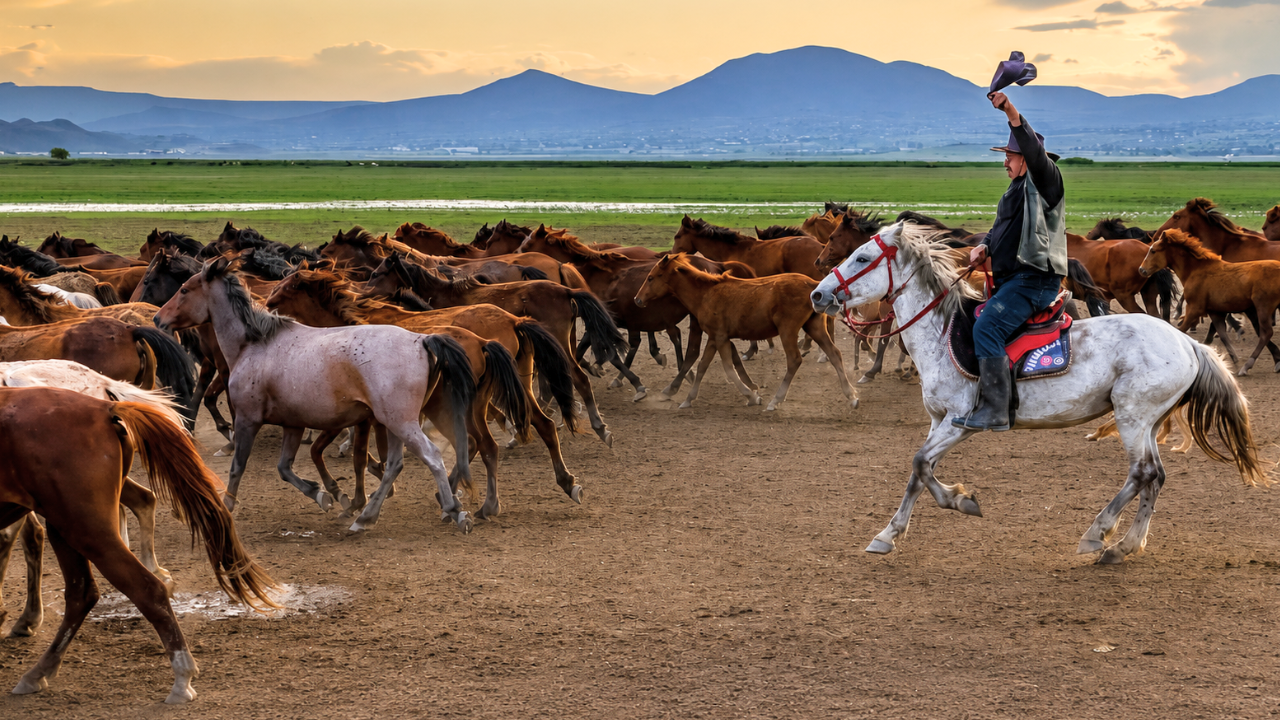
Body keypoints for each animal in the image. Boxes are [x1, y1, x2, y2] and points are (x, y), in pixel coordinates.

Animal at [155, 256, 477, 533]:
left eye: (184, 290)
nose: (158, 319)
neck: (255, 345)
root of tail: (421, 340)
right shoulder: (293, 425)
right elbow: (285, 468)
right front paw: (325, 495)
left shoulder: (247, 420)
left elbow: (238, 467)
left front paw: (227, 507)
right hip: (393, 423)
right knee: (394, 465)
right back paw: (364, 518)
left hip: (401, 422)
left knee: (431, 456)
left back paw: (453, 510)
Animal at [365, 251, 625, 443]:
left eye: (377, 273)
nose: (364, 295)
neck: (444, 294)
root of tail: (566, 290)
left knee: (577, 378)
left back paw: (598, 426)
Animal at [636, 254, 856, 412]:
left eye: (651, 277)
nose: (638, 299)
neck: (705, 294)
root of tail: (812, 285)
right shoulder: (715, 338)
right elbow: (702, 366)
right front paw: (689, 399)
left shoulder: (721, 337)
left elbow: (728, 368)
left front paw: (752, 396)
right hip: (814, 327)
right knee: (834, 354)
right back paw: (852, 396)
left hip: (788, 331)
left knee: (794, 360)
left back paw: (775, 400)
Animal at [810, 221, 1266, 562]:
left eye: (862, 258)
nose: (818, 293)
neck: (942, 333)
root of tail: (1187, 343)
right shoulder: (938, 421)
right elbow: (918, 474)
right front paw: (889, 533)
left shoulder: (960, 422)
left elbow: (920, 464)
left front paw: (961, 501)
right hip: (1147, 421)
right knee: (1155, 476)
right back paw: (1124, 545)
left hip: (1132, 417)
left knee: (1142, 473)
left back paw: (1098, 533)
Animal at [1139, 229, 1280, 375]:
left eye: (1153, 250)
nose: (1141, 270)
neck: (1195, 270)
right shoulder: (1215, 312)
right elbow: (1223, 336)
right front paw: (1233, 361)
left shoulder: (1194, 308)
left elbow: (1181, 330)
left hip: (1263, 307)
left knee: (1266, 333)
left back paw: (1247, 366)